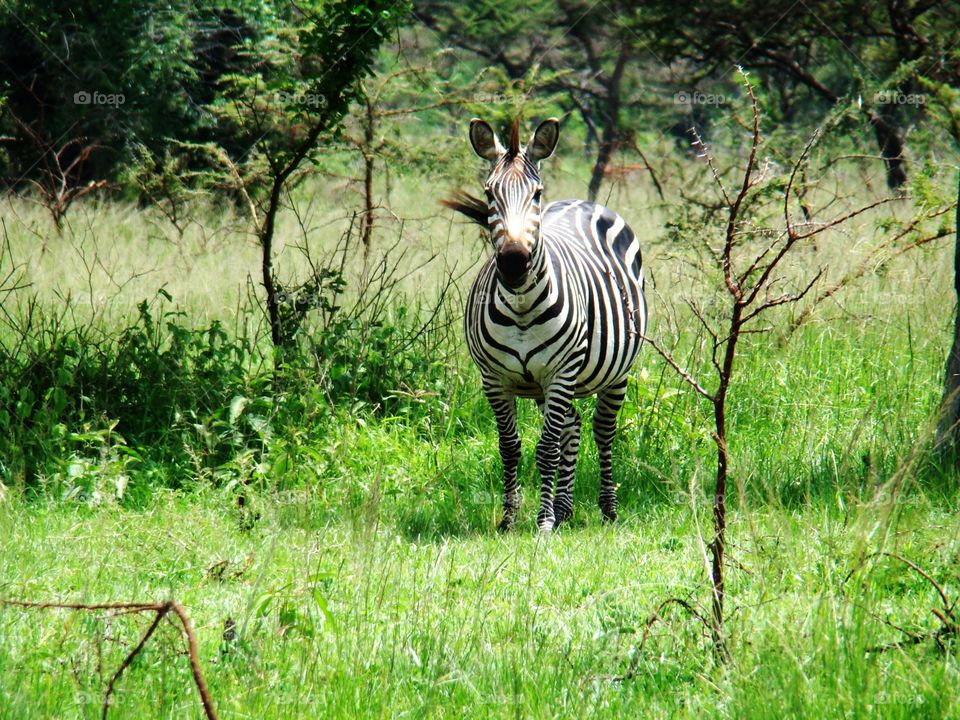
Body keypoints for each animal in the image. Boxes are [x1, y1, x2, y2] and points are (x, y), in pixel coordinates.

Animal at [444, 117, 647, 533]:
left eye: (536, 194)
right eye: (489, 192)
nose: (513, 263)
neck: (522, 306)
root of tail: (583, 202)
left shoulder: (560, 371)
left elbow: (546, 448)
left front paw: (544, 521)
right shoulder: (494, 378)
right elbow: (510, 447)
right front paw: (509, 519)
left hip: (613, 372)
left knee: (602, 431)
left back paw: (606, 510)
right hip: (547, 385)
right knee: (573, 427)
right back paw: (566, 507)